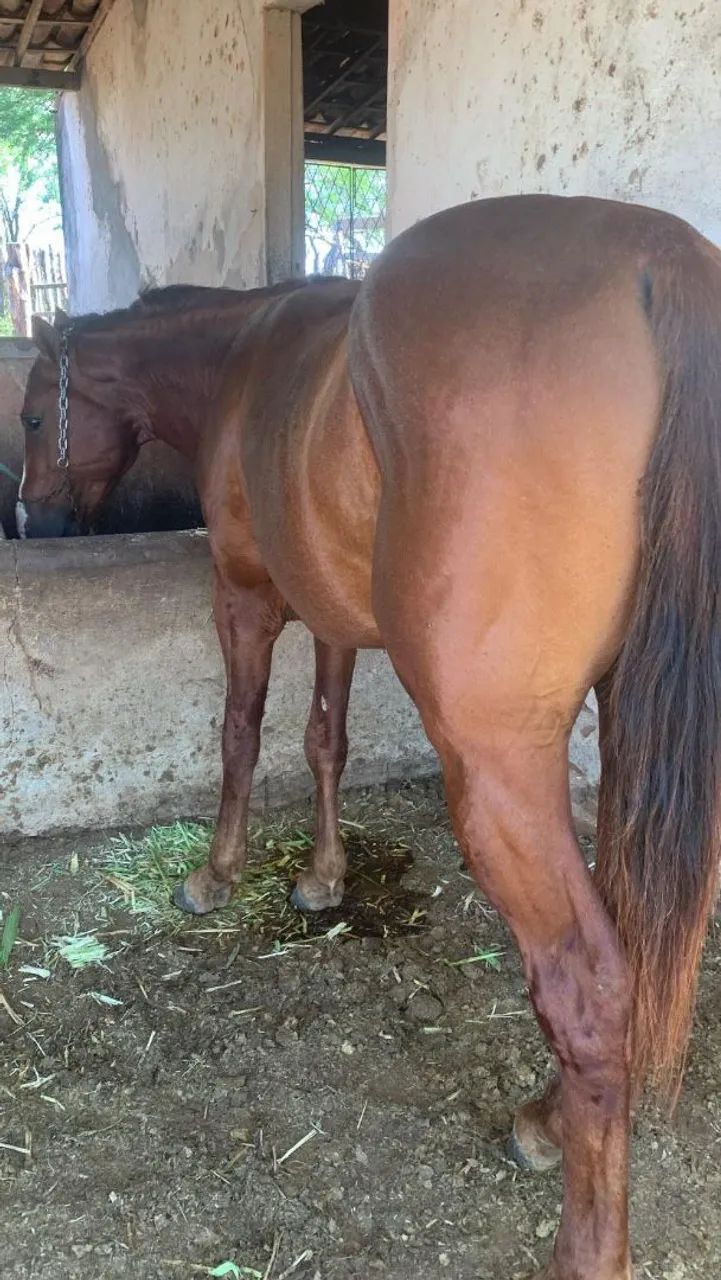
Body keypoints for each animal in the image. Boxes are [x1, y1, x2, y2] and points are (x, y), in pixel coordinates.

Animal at [17, 193, 721, 1280]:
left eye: (28, 414)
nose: (31, 520)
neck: (241, 359)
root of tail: (658, 256)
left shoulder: (246, 597)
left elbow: (241, 732)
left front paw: (216, 873)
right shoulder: (335, 619)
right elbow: (324, 740)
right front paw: (323, 875)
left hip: (497, 768)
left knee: (592, 982)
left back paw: (584, 1240)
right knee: (635, 945)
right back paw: (545, 1117)